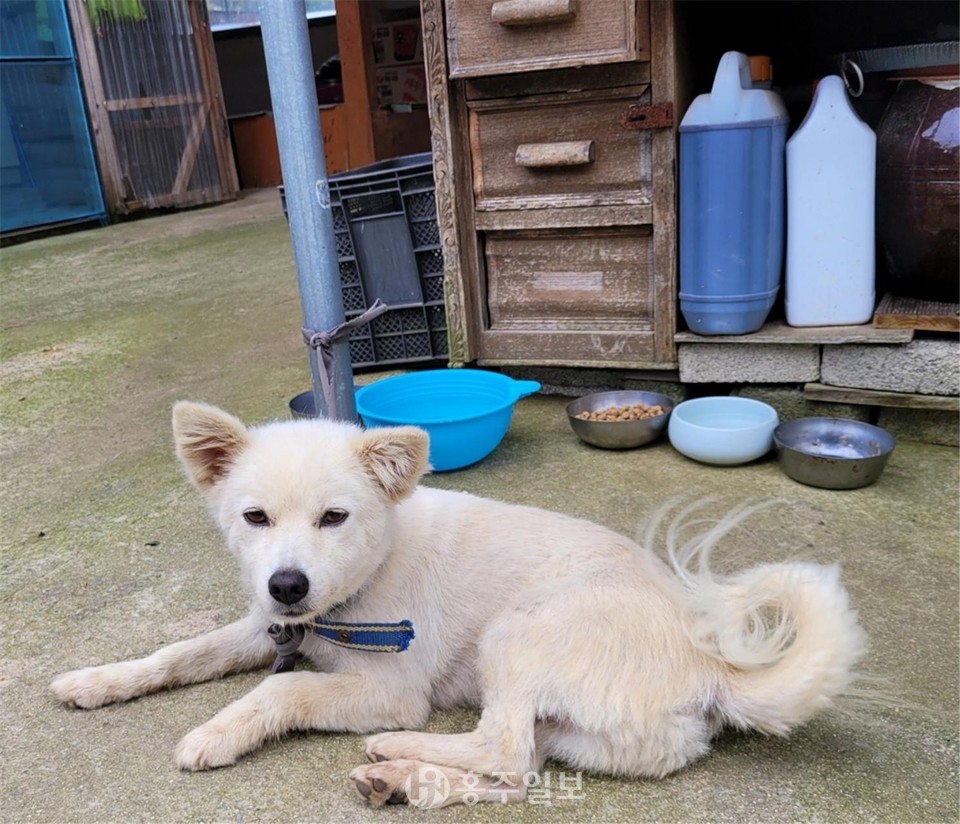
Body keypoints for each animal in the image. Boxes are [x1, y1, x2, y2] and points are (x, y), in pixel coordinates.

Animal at [48, 402, 868, 808]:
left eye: (334, 518)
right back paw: (406, 784)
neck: (358, 585)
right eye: (255, 518)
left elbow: (282, 688)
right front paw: (97, 680)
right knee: (518, 772)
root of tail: (712, 671)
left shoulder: (389, 689)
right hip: (576, 734)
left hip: (519, 630)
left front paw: (215, 734)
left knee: (500, 747)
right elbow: (180, 652)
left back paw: (395, 755)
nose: (287, 584)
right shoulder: (269, 626)